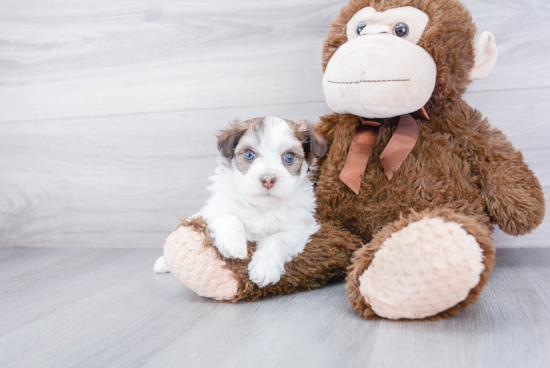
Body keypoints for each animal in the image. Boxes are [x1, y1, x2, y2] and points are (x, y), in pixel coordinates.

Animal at [199, 117, 328, 288]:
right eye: (249, 154)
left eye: (289, 157)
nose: (268, 179)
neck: (263, 206)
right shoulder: (215, 207)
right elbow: (228, 217)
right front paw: (234, 244)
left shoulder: (299, 227)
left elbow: (277, 239)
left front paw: (264, 267)